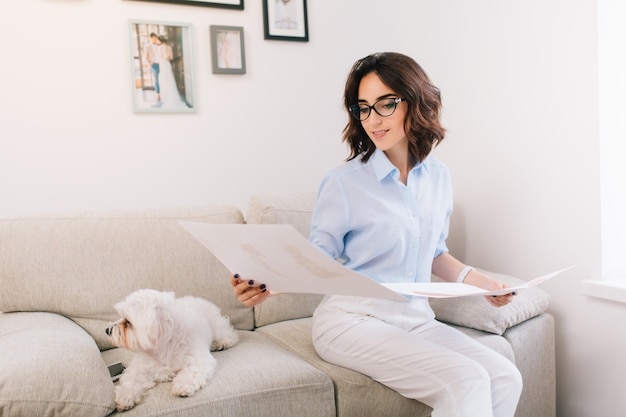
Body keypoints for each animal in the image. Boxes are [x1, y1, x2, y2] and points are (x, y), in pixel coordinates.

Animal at [105, 290, 236, 410]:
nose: (107, 330)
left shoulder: (199, 359)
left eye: (128, 321)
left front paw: (182, 385)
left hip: (218, 328)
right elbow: (131, 380)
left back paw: (221, 343)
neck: (164, 346)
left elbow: (192, 371)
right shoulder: (140, 367)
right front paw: (125, 396)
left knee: (230, 335)